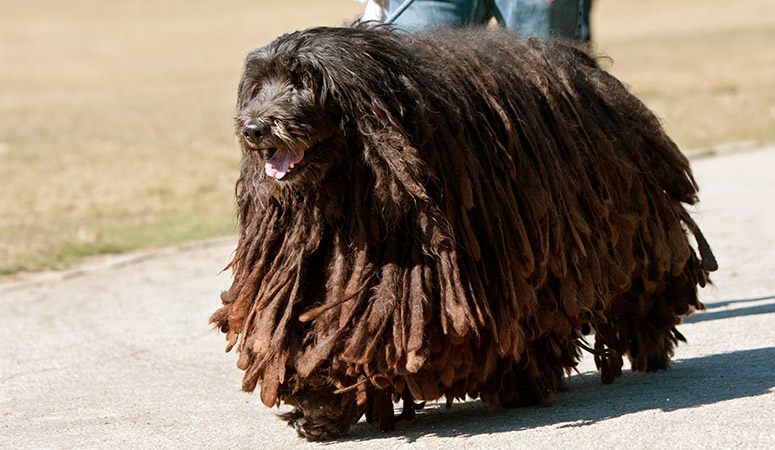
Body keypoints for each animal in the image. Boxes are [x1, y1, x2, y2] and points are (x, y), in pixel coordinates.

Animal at [211, 23, 716, 440]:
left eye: (305, 82)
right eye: (259, 86)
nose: (254, 128)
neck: (350, 183)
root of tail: (587, 68)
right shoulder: (317, 257)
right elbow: (313, 325)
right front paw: (317, 402)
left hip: (626, 223)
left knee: (641, 284)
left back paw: (646, 345)